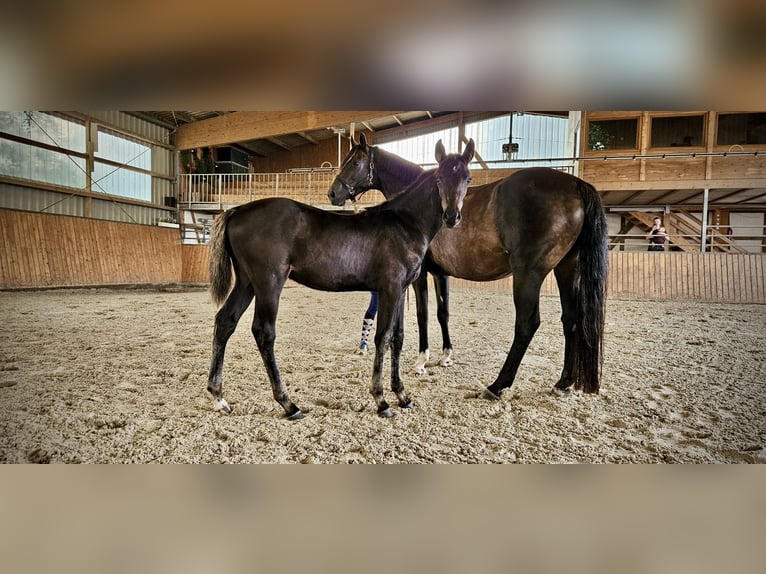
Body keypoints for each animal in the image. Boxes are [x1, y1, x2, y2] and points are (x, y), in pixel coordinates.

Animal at [207, 139, 475, 419]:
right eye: (439, 178)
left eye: (468, 178)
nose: (452, 216)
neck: (404, 222)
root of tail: (237, 210)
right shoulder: (389, 288)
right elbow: (383, 337)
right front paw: (381, 400)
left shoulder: (400, 290)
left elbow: (398, 337)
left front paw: (402, 395)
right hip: (268, 284)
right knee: (264, 333)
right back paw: (288, 404)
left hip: (247, 283)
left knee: (225, 322)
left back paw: (219, 397)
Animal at [327, 133, 608, 400]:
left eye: (355, 162)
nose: (333, 193)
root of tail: (576, 185)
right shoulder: (441, 274)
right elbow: (443, 313)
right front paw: (445, 356)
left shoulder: (420, 275)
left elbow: (422, 314)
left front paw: (421, 361)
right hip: (566, 268)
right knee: (571, 320)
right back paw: (563, 382)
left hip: (529, 273)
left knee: (527, 324)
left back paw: (497, 386)